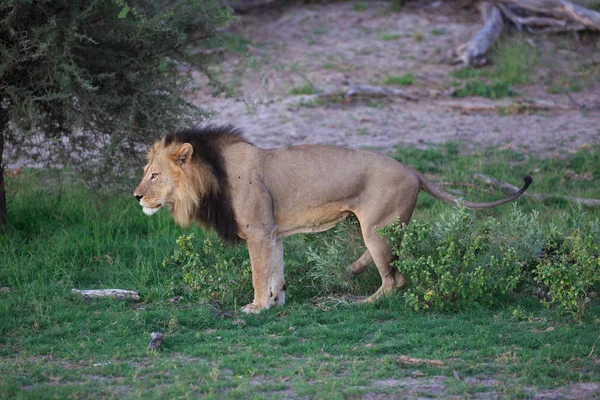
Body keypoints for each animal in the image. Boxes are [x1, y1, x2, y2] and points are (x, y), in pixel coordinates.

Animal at [134, 126, 532, 314]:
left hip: (377, 227)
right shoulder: (273, 232)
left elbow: (259, 272)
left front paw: (257, 307)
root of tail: (413, 170)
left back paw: (364, 302)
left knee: (395, 279)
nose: (136, 196)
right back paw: (352, 272)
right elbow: (275, 269)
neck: (210, 177)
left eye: (154, 175)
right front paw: (277, 302)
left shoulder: (259, 231)